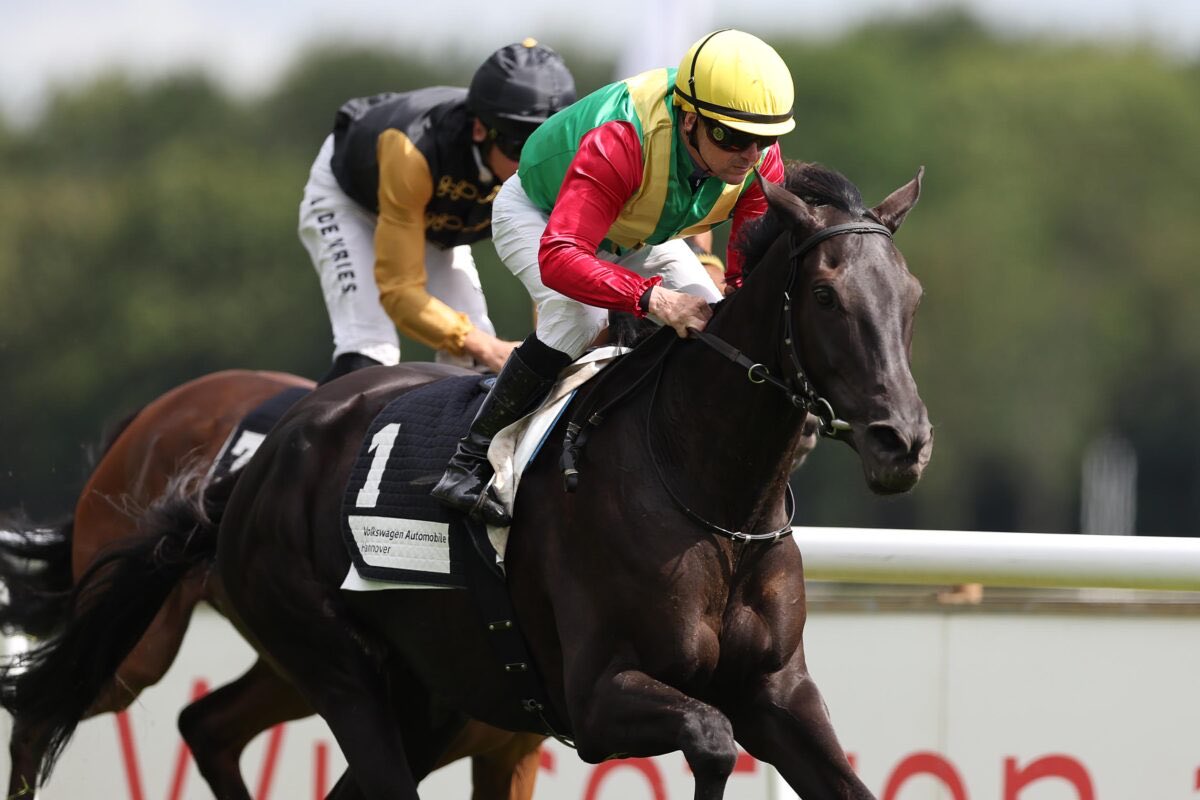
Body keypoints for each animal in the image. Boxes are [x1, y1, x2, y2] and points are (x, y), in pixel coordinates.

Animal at [0, 369, 544, 799]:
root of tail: (145, 416)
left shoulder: (509, 755)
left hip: (290, 663)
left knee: (207, 726)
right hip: (145, 652)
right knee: (39, 712)